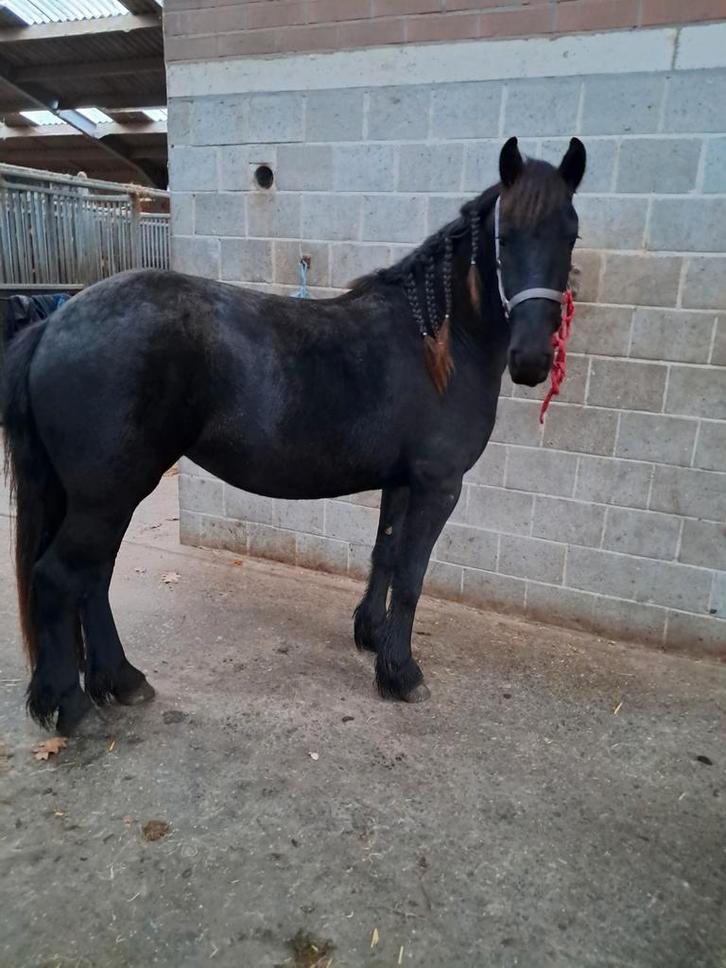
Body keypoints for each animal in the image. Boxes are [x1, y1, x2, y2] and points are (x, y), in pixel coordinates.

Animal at [2, 136, 586, 735]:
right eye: (504, 237)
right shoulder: (438, 486)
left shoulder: (402, 481)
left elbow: (385, 555)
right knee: (59, 578)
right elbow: (412, 575)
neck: (436, 341)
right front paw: (401, 673)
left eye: (570, 234)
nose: (532, 360)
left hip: (106, 497)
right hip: (109, 495)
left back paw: (121, 681)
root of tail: (53, 324)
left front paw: (370, 636)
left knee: (93, 578)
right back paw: (72, 707)